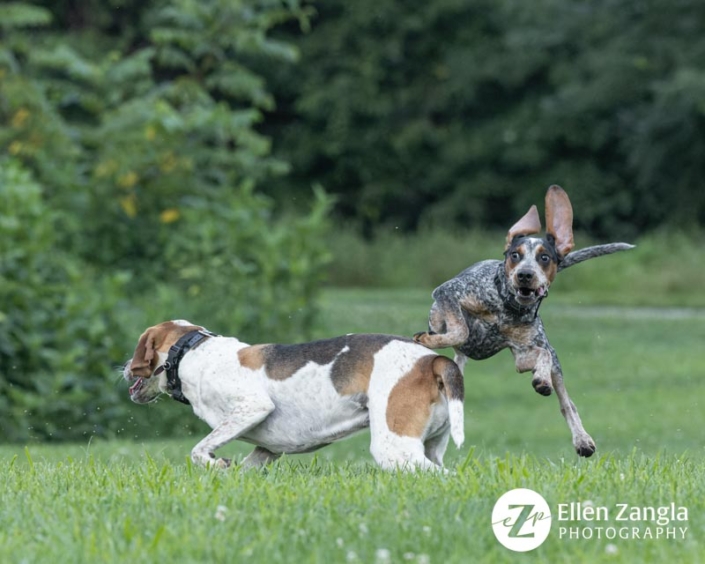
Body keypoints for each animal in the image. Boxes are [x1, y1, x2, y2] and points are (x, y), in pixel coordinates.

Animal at [122, 322, 462, 472]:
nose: (125, 367)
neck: (191, 353)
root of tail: (432, 360)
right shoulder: (267, 449)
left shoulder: (251, 407)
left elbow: (198, 450)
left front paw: (215, 463)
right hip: (428, 447)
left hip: (394, 449)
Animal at [412, 185, 632, 458]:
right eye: (515, 255)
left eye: (545, 258)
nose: (525, 275)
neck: (507, 309)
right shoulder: (446, 293)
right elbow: (460, 330)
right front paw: (430, 339)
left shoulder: (524, 354)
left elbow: (542, 358)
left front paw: (541, 380)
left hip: (552, 363)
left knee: (566, 401)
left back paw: (581, 437)